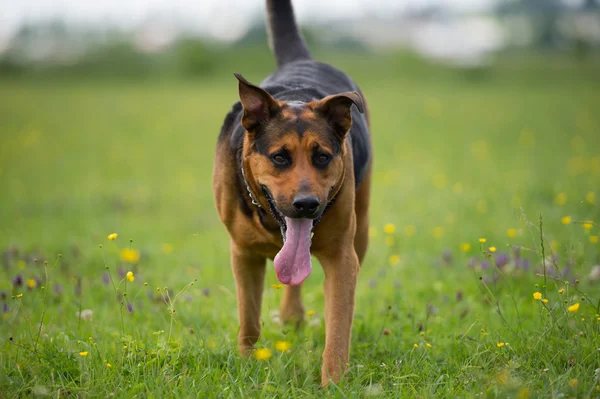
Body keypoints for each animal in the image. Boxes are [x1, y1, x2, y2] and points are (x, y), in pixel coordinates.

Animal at [211, 0, 370, 388]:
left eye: (322, 156)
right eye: (279, 157)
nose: (306, 204)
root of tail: (302, 60)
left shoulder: (343, 258)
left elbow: (338, 328)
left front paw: (334, 384)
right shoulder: (243, 253)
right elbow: (249, 319)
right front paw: (247, 364)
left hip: (362, 227)